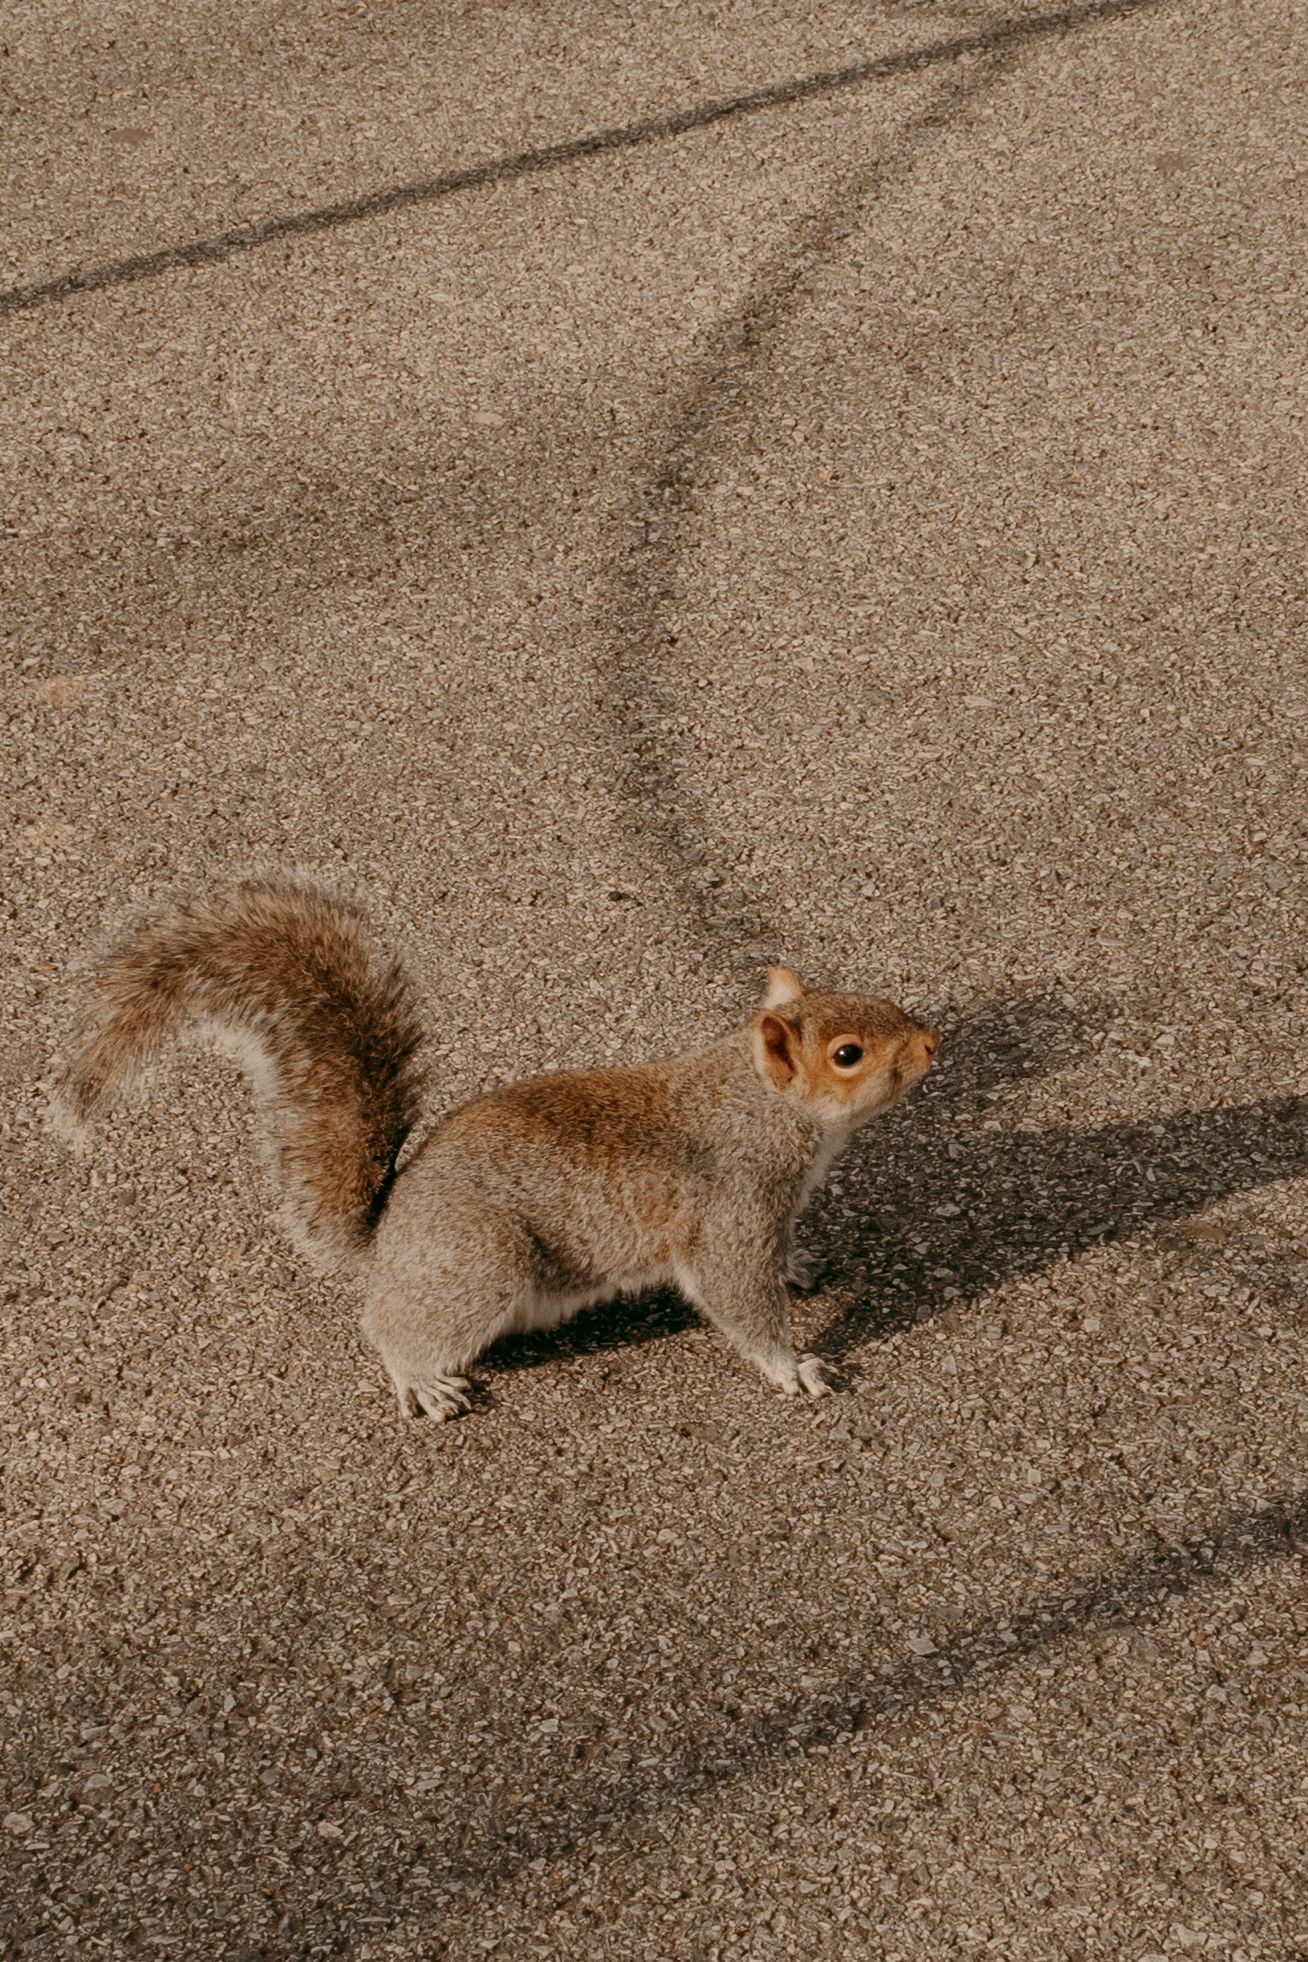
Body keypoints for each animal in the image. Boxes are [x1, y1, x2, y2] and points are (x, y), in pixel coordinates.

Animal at [56, 876, 939, 1421]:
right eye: (849, 1054)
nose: (932, 1044)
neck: (753, 1104)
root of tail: (388, 1238)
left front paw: (801, 1266)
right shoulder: (730, 1208)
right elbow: (739, 1300)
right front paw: (795, 1367)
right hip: (482, 1262)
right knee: (387, 1326)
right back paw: (421, 1379)